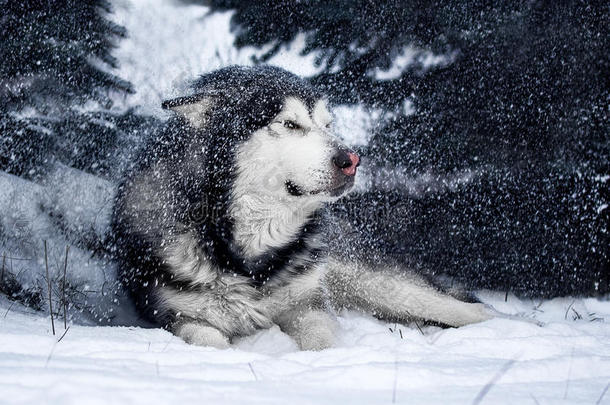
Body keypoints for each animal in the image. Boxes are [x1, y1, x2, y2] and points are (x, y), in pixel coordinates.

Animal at [113, 64, 494, 348]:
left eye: (327, 125)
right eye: (290, 124)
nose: (352, 160)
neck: (246, 257)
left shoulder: (308, 304)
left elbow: (320, 339)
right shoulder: (177, 317)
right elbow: (210, 342)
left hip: (366, 278)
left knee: (456, 306)